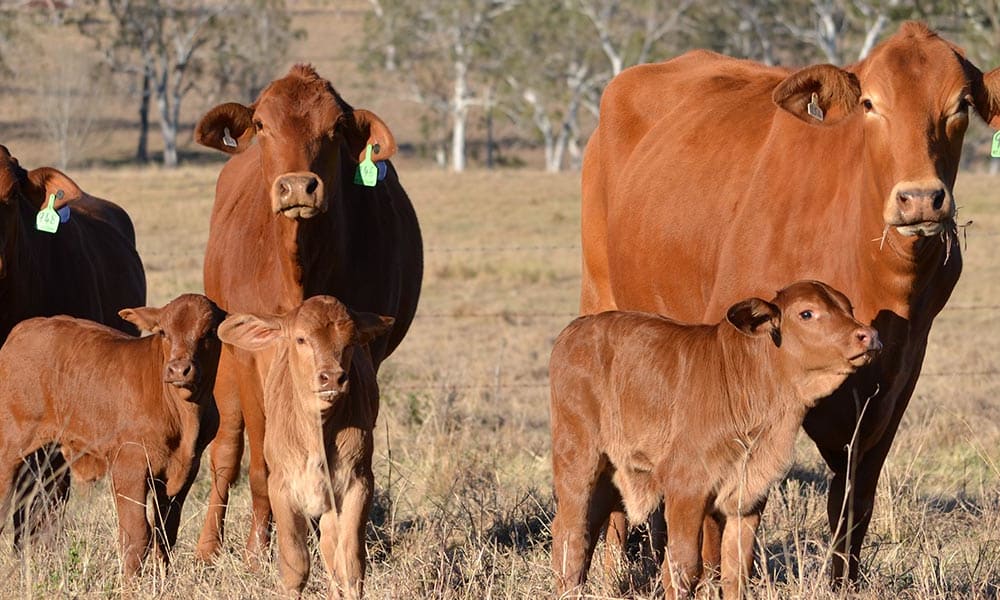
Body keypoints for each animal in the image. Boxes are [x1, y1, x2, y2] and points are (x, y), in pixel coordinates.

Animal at [0, 294, 224, 576]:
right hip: (9, 446)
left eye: (210, 332)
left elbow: (165, 533)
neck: (185, 416)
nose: (178, 369)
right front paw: (132, 582)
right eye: (163, 332)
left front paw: (163, 578)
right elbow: (137, 535)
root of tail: (23, 329)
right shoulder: (129, 465)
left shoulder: (184, 472)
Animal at [192, 64, 422, 562]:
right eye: (262, 124)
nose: (298, 186)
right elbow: (261, 461)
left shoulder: (364, 354)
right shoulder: (251, 360)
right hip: (227, 371)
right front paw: (260, 550)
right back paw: (209, 546)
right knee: (225, 455)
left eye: (335, 127)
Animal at [217, 295, 393, 598]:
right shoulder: (282, 488)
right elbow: (295, 564)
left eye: (350, 341)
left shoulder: (358, 483)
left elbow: (350, 564)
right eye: (301, 339)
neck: (316, 435)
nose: (332, 377)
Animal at [551, 281, 881, 599]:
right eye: (807, 313)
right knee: (571, 535)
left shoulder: (747, 498)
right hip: (577, 460)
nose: (869, 335)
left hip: (607, 474)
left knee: (584, 528)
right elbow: (683, 567)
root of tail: (576, 330)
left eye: (849, 308)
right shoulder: (686, 488)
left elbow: (736, 570)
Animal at [579, 22, 1000, 583]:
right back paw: (611, 570)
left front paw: (842, 581)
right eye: (870, 103)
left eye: (960, 105)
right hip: (599, 299)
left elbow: (853, 501)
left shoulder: (895, 380)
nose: (920, 199)